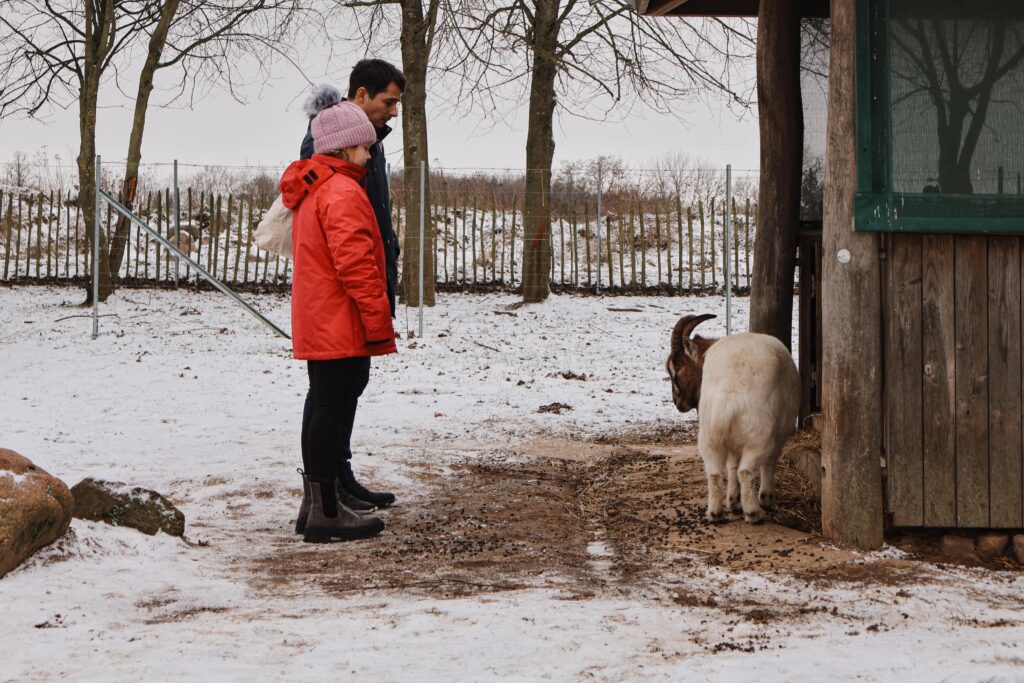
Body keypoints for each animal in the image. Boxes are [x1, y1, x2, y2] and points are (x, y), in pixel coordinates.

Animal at [667, 315, 802, 524]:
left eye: (676, 371)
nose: (677, 402)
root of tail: (730, 395)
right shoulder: (781, 433)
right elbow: (768, 463)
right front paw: (765, 499)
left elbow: (731, 466)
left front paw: (733, 500)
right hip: (759, 437)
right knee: (746, 471)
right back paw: (754, 512)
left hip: (710, 436)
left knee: (715, 472)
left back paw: (716, 513)